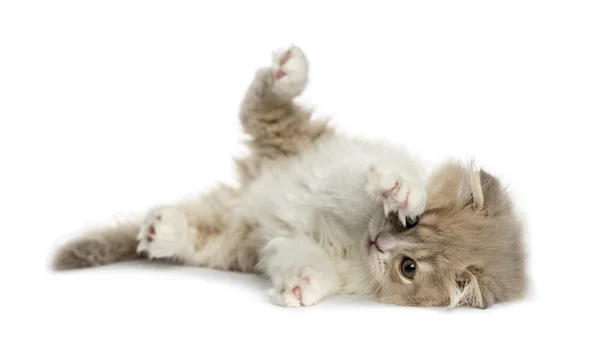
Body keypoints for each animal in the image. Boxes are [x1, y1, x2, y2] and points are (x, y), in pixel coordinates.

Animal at [52, 45, 528, 308]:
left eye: (407, 268)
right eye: (412, 225)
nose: (381, 242)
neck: (356, 240)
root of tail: (246, 191)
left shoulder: (289, 246)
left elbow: (307, 264)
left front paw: (302, 287)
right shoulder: (347, 170)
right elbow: (366, 184)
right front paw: (399, 190)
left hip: (231, 241)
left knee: (195, 234)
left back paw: (162, 231)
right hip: (287, 133)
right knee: (264, 98)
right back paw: (288, 69)